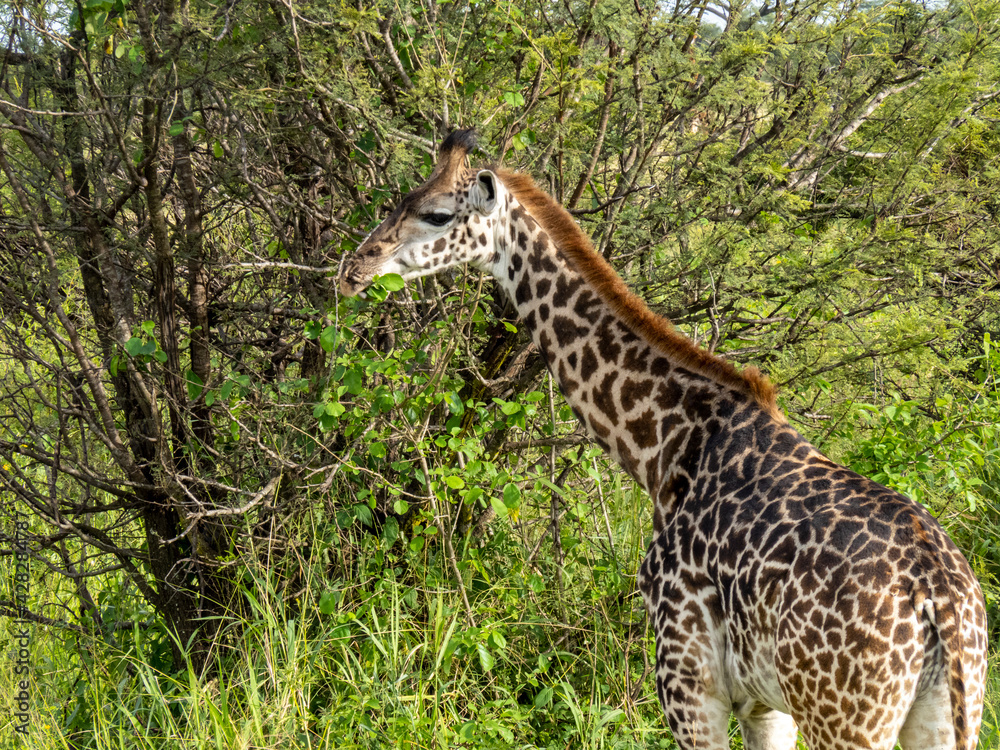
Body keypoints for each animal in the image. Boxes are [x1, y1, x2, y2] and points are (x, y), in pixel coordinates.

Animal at [336, 132, 984, 748]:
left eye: (438, 214)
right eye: (401, 200)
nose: (352, 270)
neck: (663, 448)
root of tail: (943, 606)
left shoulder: (688, 676)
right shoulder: (766, 704)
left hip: (846, 716)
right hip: (947, 714)